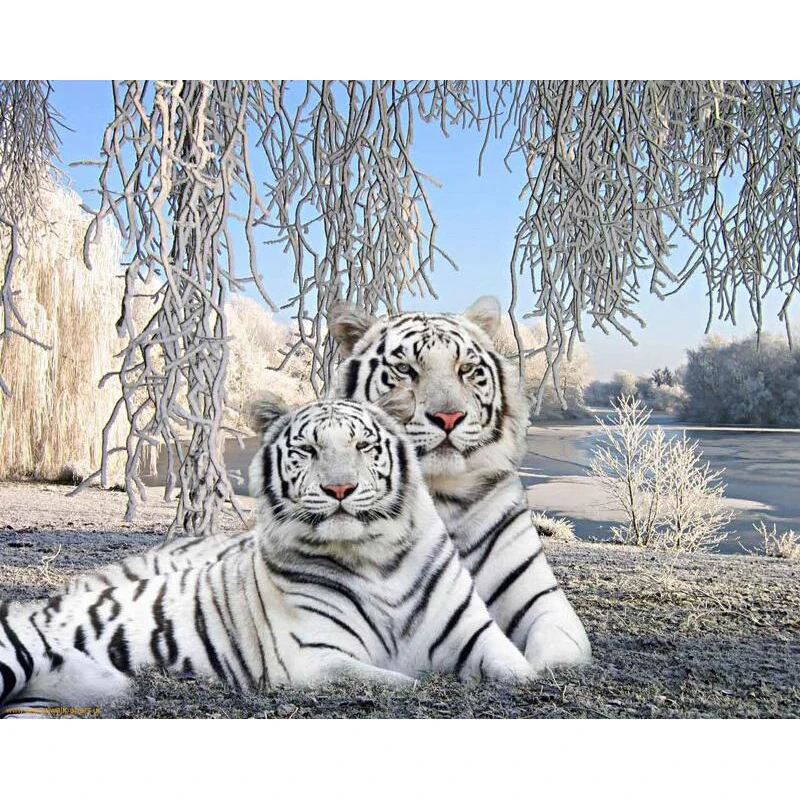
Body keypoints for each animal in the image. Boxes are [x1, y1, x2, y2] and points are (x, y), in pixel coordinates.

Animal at [0, 396, 534, 715]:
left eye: (363, 445)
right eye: (307, 450)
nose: (340, 489)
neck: (376, 559)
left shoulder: (477, 637)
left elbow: (521, 671)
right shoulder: (314, 658)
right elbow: (405, 681)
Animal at [329, 295, 592, 672]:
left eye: (465, 369)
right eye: (405, 370)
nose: (448, 417)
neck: (441, 492)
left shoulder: (539, 595)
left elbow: (557, 647)